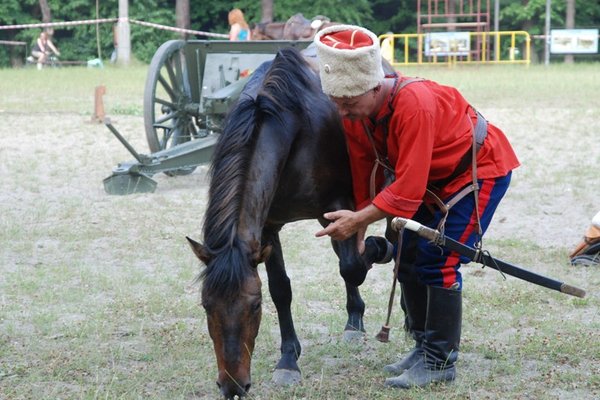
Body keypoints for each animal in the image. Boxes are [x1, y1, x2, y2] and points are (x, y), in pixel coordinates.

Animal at [185, 48, 378, 398]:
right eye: (206, 306)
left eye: (254, 306)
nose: (233, 385)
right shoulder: (267, 228)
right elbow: (281, 289)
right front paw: (288, 360)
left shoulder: (340, 206)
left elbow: (353, 265)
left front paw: (372, 251)